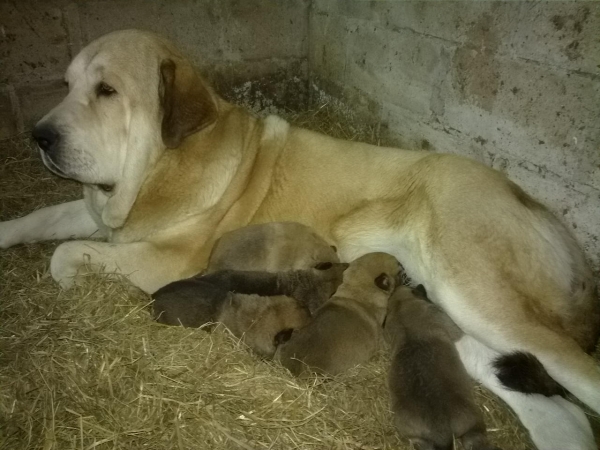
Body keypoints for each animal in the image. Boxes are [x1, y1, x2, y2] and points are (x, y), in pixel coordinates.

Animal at [386, 284, 500, 450]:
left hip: (420, 439)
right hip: (472, 421)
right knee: (474, 438)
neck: (401, 306)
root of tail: (442, 432)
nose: (420, 285)